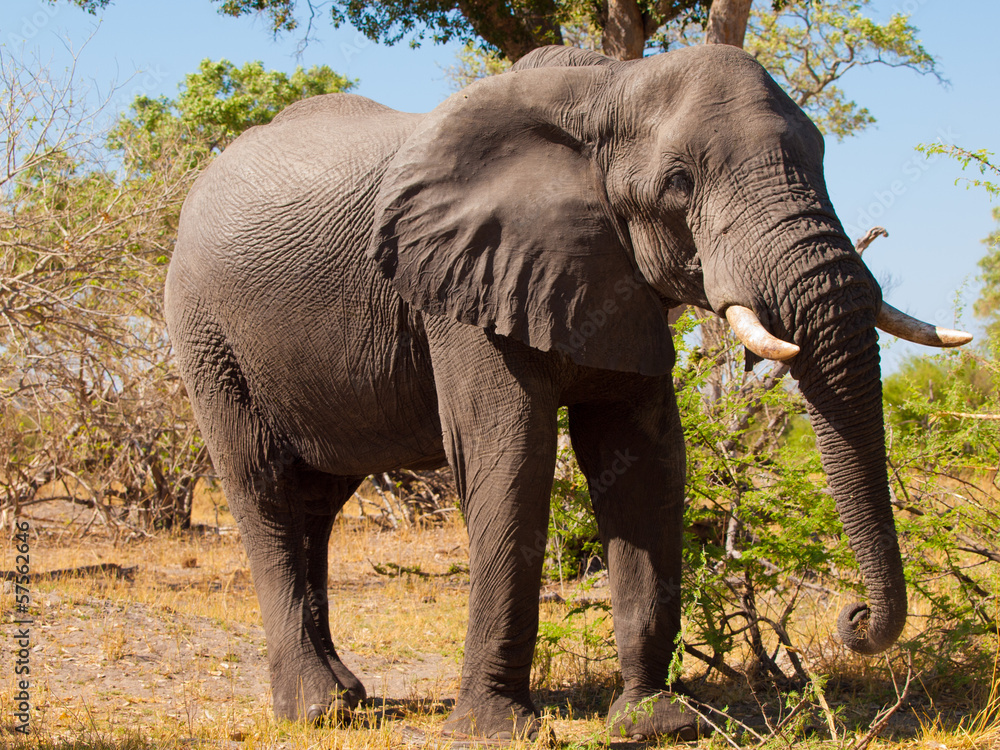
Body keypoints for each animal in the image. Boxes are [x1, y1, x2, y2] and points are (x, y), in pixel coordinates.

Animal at [165, 43, 971, 741]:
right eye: (679, 183)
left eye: (824, 159)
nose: (854, 617)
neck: (610, 86)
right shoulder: (460, 293)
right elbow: (509, 459)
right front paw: (497, 732)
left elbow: (646, 465)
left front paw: (658, 724)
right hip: (207, 332)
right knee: (264, 487)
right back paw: (319, 712)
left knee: (318, 502)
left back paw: (349, 695)